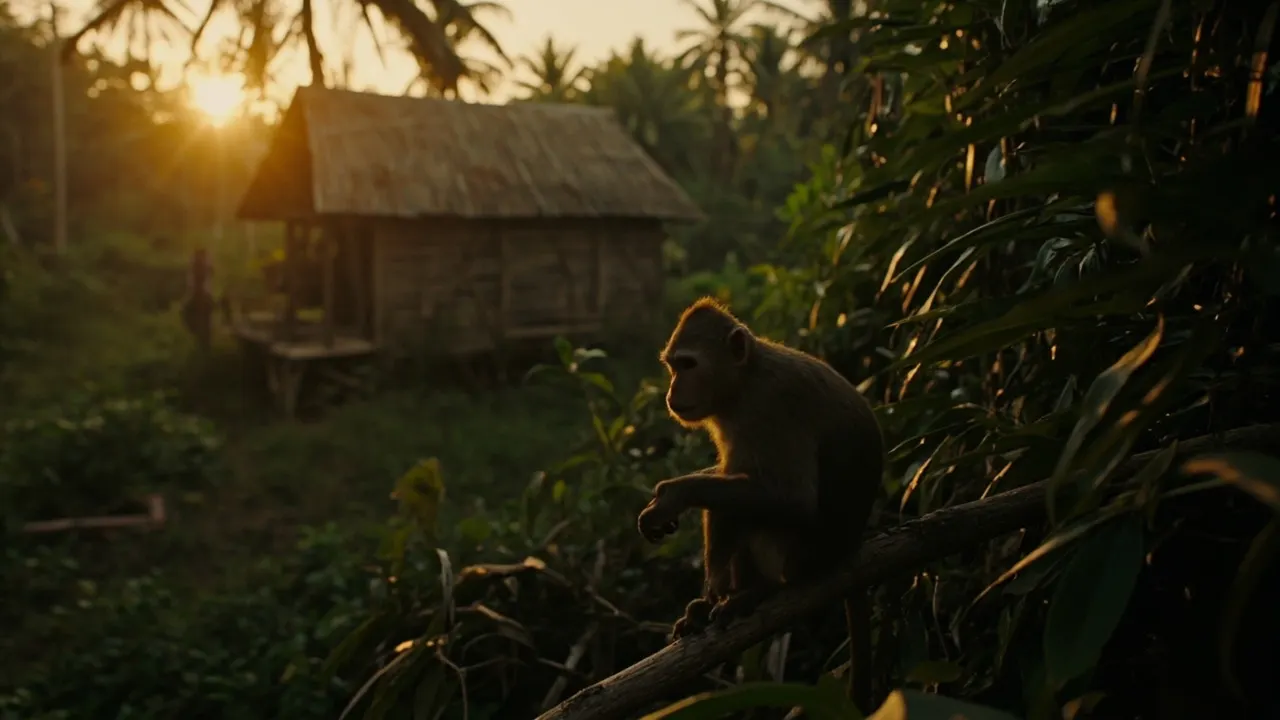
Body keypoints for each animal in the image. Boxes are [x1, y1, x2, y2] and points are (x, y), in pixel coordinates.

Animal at [636, 297, 884, 711]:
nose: (672, 390)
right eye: (674, 366)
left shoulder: (772, 408)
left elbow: (794, 502)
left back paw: (759, 590)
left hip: (800, 559)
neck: (745, 380)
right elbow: (728, 476)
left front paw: (674, 495)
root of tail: (848, 549)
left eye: (688, 365)